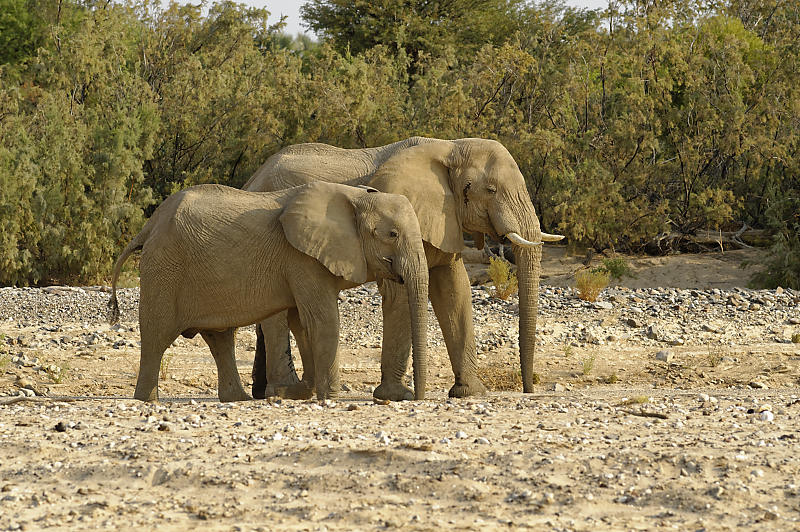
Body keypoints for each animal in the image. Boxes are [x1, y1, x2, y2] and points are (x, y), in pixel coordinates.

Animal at [111, 181, 432, 402]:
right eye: (392, 234)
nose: (417, 398)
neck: (355, 196)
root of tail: (149, 225)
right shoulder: (302, 258)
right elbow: (322, 320)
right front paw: (329, 396)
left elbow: (300, 321)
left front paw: (300, 391)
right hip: (163, 269)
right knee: (157, 335)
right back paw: (147, 400)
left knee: (220, 338)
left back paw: (237, 400)